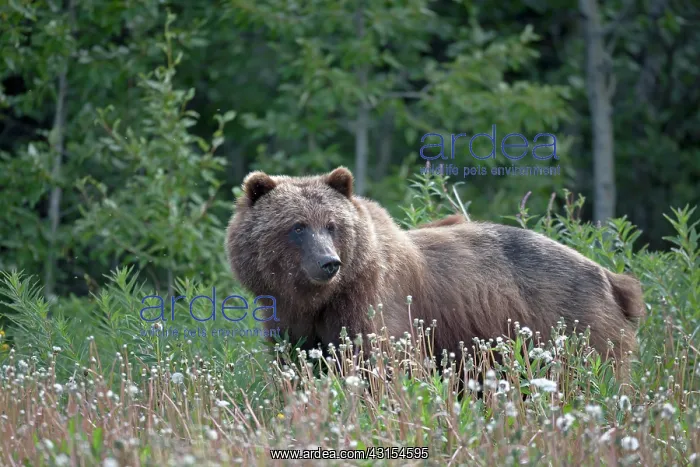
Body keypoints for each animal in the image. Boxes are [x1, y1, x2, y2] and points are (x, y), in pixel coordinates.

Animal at [225, 166, 645, 382]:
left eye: (332, 225)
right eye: (297, 226)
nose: (329, 263)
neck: (319, 298)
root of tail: (611, 276)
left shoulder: (372, 302)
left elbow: (378, 362)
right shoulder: (288, 318)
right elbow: (297, 364)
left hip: (570, 322)